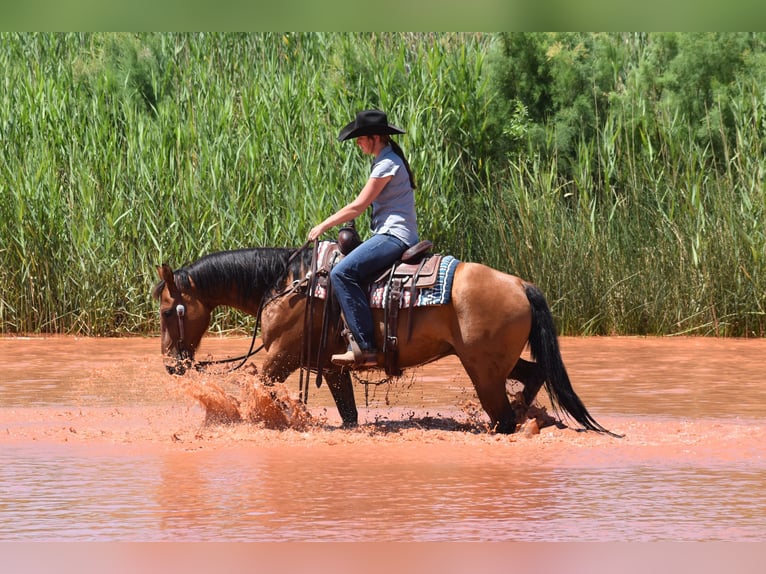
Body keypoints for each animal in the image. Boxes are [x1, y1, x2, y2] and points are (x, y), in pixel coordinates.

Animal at [152, 245, 616, 436]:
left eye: (167, 312)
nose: (172, 365)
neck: (287, 284)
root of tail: (520, 284)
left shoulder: (280, 358)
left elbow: (255, 389)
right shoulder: (329, 367)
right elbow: (349, 414)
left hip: (483, 371)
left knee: (501, 417)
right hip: (497, 362)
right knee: (534, 375)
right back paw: (528, 414)